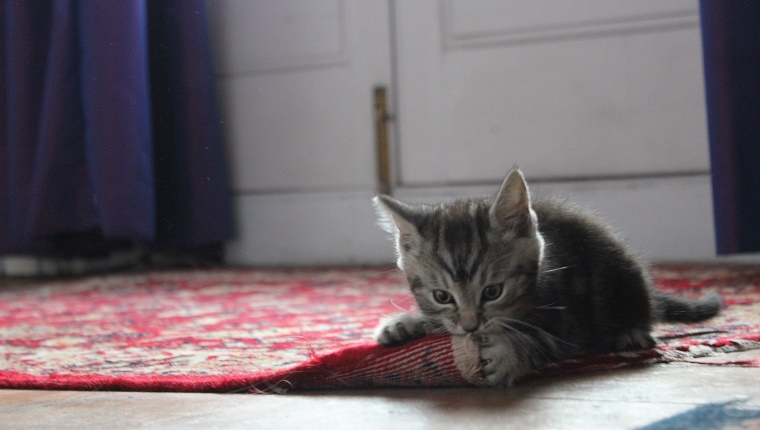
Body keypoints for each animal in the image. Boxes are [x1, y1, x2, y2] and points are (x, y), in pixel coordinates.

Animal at [372, 170, 720, 388]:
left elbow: (539, 342)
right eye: (442, 296)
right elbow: (441, 322)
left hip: (623, 274)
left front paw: (506, 354)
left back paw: (632, 331)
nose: (471, 327)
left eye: (493, 292)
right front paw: (406, 323)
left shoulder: (571, 324)